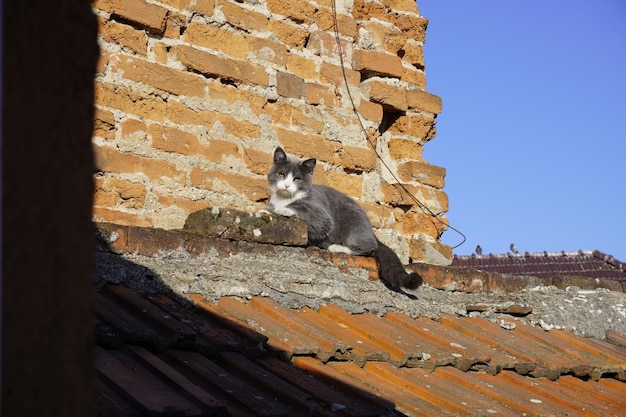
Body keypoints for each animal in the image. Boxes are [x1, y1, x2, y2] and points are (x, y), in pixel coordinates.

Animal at [258, 147, 420, 290]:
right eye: (281, 174)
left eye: (297, 179)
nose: (286, 185)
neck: (284, 198)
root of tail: (372, 232)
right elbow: (268, 208)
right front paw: (263, 211)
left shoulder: (320, 211)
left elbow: (312, 216)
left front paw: (283, 209)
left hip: (355, 223)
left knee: (368, 247)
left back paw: (337, 247)